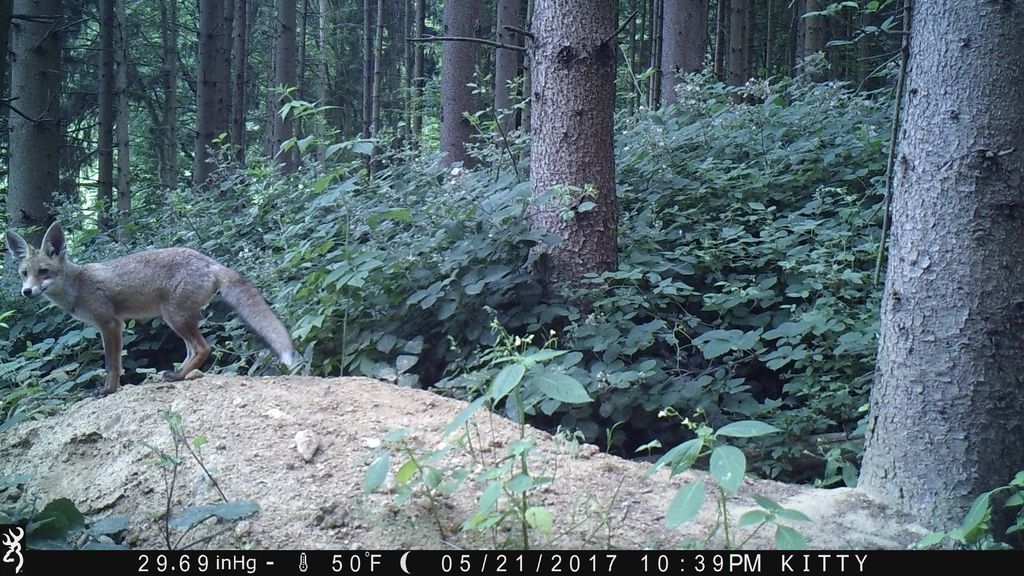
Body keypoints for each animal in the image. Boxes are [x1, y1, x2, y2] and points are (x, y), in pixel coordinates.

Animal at [7, 219, 296, 393]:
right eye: (24, 273)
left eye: (44, 272)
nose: (27, 292)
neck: (78, 285)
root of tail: (210, 262)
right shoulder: (110, 326)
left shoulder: (111, 325)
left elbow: (112, 365)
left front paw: (108, 390)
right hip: (177, 320)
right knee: (192, 351)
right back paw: (177, 375)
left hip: (175, 317)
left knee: (204, 348)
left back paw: (178, 377)